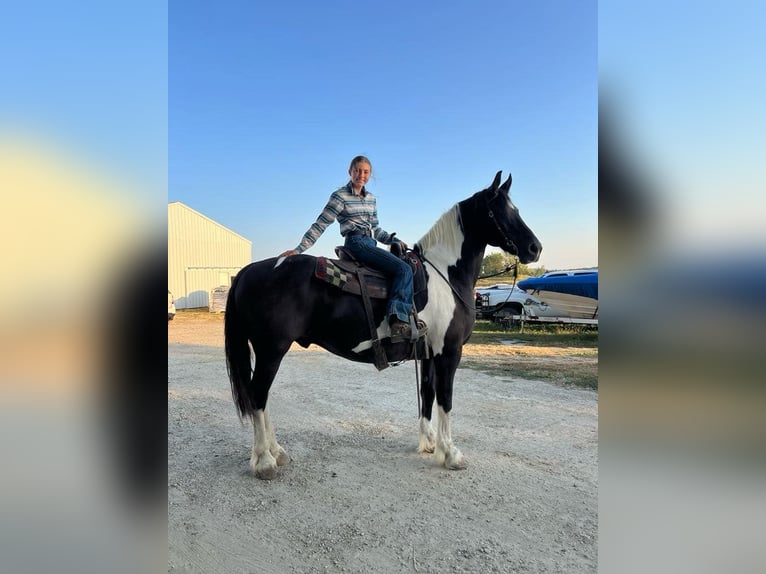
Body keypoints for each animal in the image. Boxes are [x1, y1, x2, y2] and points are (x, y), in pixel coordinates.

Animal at [225, 171, 544, 482]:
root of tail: (248, 270)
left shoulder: (429, 354)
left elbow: (427, 394)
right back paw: (264, 461)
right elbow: (446, 399)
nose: (535, 248)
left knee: (261, 397)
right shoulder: (449, 352)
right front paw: (451, 454)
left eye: (515, 209)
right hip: (271, 349)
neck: (446, 278)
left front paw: (430, 443)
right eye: (499, 211)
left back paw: (276, 451)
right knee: (258, 395)